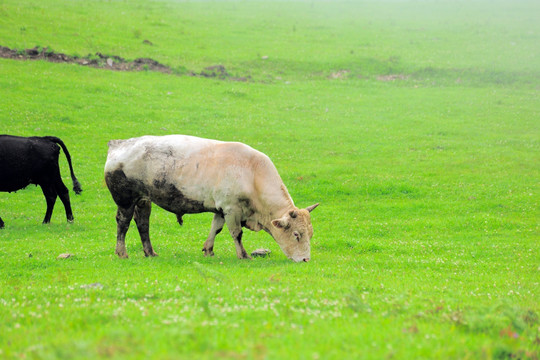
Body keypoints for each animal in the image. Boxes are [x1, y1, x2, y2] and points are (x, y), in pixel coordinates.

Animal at [103, 135, 318, 262]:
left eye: (310, 234)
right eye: (296, 234)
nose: (306, 259)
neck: (252, 173)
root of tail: (119, 144)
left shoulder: (221, 210)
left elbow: (216, 228)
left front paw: (209, 250)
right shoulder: (232, 209)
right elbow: (236, 233)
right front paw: (243, 255)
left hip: (143, 200)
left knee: (143, 223)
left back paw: (150, 252)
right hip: (125, 200)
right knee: (123, 223)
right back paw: (122, 252)